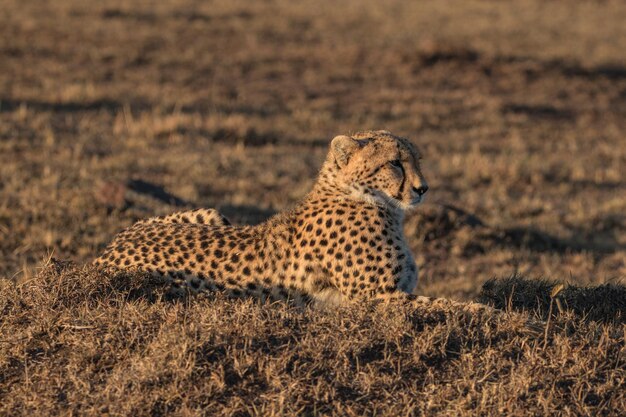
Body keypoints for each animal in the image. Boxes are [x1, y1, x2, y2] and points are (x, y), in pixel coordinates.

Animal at [92, 130, 492, 312]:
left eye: (416, 160)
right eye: (395, 162)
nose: (424, 189)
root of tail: (106, 251)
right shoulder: (377, 297)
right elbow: (449, 305)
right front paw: (497, 314)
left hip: (213, 213)